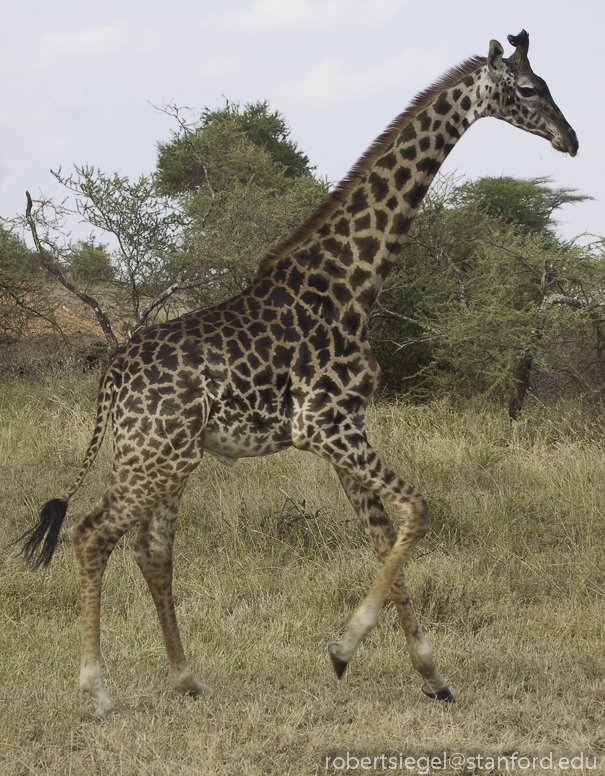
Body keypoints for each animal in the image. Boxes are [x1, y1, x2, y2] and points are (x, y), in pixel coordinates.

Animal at [20, 33, 576, 720]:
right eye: (527, 89)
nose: (571, 139)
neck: (353, 283)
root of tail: (111, 378)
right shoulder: (323, 425)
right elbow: (419, 510)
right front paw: (344, 649)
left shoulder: (348, 429)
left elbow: (385, 537)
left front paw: (431, 674)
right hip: (157, 455)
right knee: (91, 533)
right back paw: (98, 691)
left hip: (163, 455)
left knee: (152, 550)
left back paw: (188, 679)